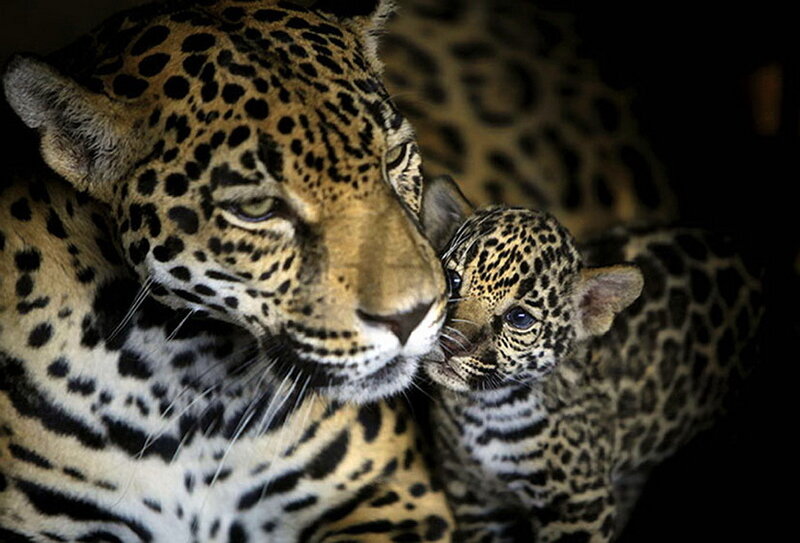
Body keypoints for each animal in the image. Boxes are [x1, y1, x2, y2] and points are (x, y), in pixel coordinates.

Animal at [416, 175, 763, 542]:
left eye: (519, 318)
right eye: (453, 280)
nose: (449, 344)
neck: (482, 409)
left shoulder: (578, 506)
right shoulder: (473, 496)